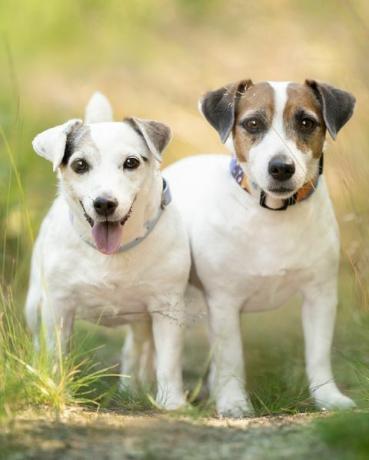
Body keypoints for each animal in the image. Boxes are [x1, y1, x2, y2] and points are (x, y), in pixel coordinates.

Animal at [24, 92, 190, 410]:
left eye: (131, 162)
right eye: (79, 165)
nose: (104, 203)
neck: (114, 253)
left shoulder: (167, 309)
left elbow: (169, 361)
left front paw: (172, 403)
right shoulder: (58, 307)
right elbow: (57, 352)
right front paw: (56, 387)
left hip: (141, 321)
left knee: (137, 350)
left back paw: (132, 391)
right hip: (34, 304)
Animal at [164, 79, 354, 416]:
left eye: (306, 122)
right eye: (252, 123)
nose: (281, 167)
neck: (272, 213)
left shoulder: (320, 296)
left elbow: (318, 354)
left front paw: (328, 397)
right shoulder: (224, 302)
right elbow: (231, 359)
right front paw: (233, 402)